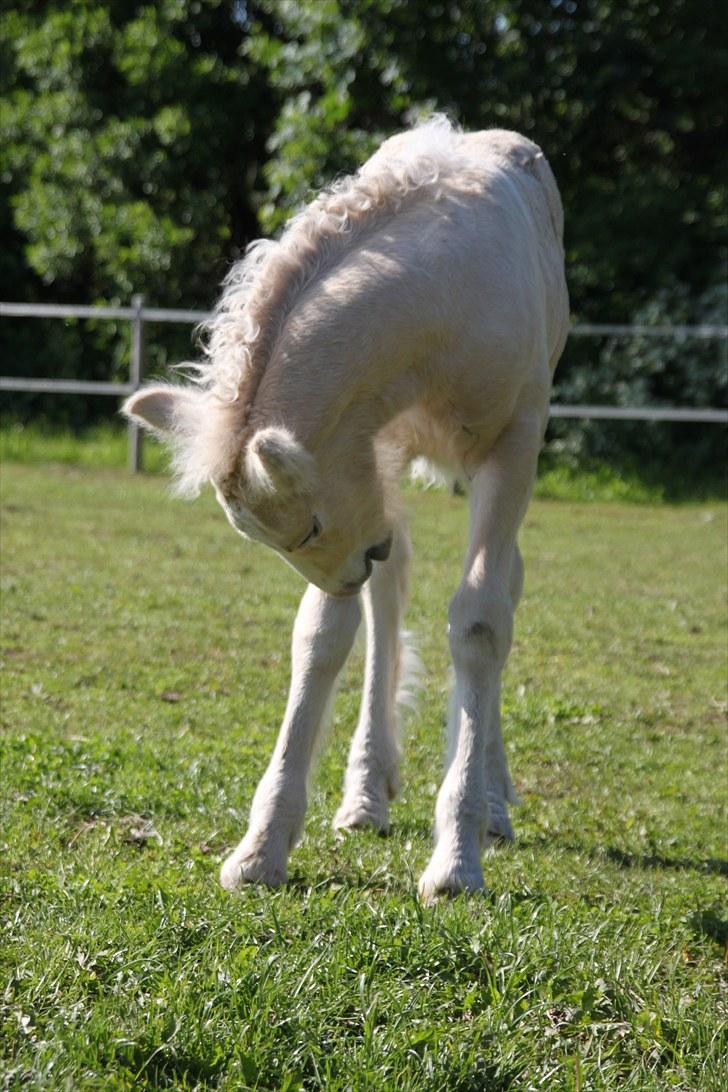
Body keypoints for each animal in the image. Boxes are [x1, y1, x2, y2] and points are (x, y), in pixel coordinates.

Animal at [125, 115, 567, 899]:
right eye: (270, 541)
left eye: (311, 526)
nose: (351, 567)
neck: (441, 307)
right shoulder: (368, 441)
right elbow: (324, 633)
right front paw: (261, 848)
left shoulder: (515, 438)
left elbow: (481, 620)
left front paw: (457, 860)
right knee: (390, 595)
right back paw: (367, 789)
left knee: (500, 585)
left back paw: (491, 799)